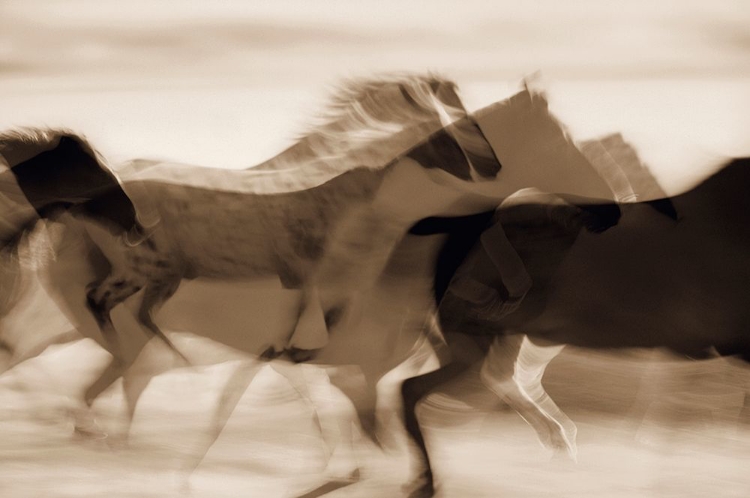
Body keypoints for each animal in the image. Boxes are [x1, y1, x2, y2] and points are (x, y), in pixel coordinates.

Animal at [400, 157, 750, 498]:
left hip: (513, 338)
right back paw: (428, 480)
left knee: (494, 378)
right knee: (420, 387)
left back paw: (558, 441)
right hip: (477, 338)